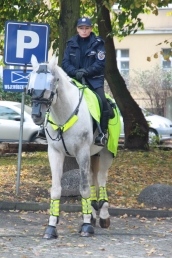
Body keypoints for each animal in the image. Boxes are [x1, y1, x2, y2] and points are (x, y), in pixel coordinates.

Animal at [27, 55, 117, 239]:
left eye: (52, 82)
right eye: (30, 84)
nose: (36, 115)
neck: (63, 114)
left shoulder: (82, 152)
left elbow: (83, 188)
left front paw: (86, 226)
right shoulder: (55, 153)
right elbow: (56, 189)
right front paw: (51, 227)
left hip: (106, 153)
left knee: (101, 179)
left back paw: (103, 216)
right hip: (93, 155)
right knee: (92, 178)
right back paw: (92, 215)